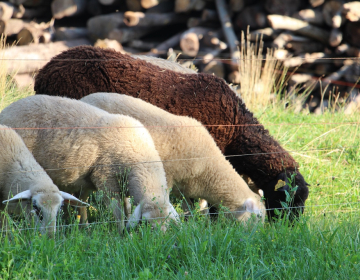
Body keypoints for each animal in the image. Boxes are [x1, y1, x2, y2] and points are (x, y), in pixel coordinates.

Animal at [0, 94, 179, 232]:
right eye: (148, 224)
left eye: (168, 223)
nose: (160, 241)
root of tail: (7, 109)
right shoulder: (107, 182)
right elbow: (117, 212)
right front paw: (121, 233)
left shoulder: (121, 184)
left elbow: (127, 208)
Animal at [82, 92, 268, 223]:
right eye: (258, 217)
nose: (260, 235)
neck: (209, 169)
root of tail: (86, 98)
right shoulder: (168, 179)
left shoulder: (186, 187)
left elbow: (192, 209)